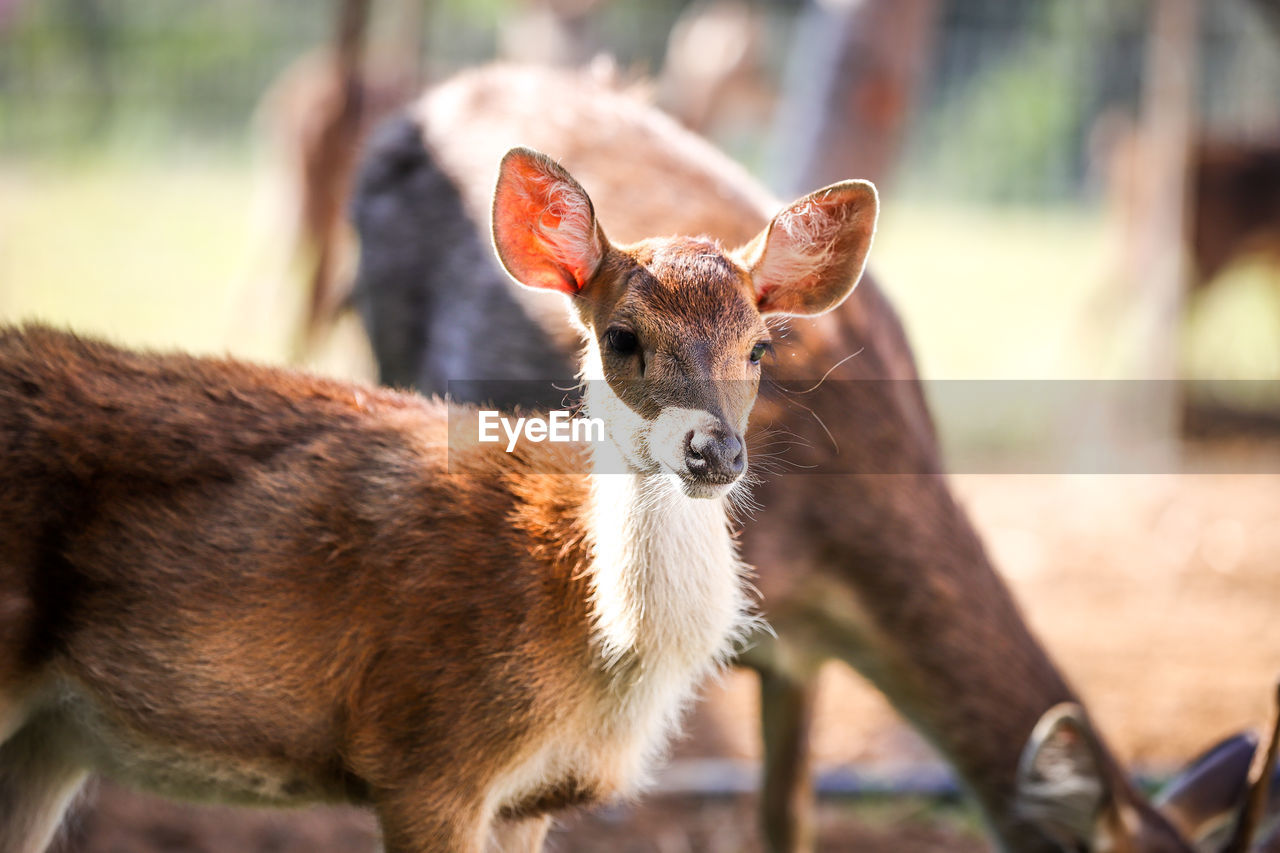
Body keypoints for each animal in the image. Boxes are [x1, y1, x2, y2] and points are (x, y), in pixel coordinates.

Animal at [0, 146, 880, 850]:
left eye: (759, 348)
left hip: (53, 738)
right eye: (621, 337)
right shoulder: (427, 756)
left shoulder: (535, 797)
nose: (713, 449)